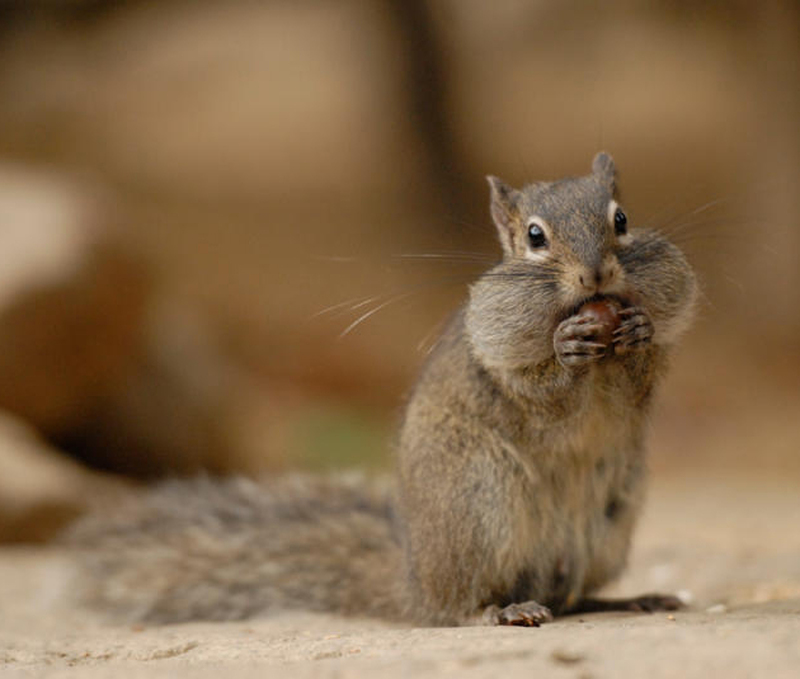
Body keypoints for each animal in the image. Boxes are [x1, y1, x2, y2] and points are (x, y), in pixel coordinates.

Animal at [67, 154, 692, 628]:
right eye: (536, 236)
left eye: (621, 218)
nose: (596, 276)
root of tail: (414, 581)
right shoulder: (499, 375)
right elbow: (541, 399)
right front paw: (567, 345)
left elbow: (641, 385)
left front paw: (637, 331)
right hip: (479, 504)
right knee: (461, 606)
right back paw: (500, 611)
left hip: (610, 522)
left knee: (571, 596)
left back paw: (628, 599)